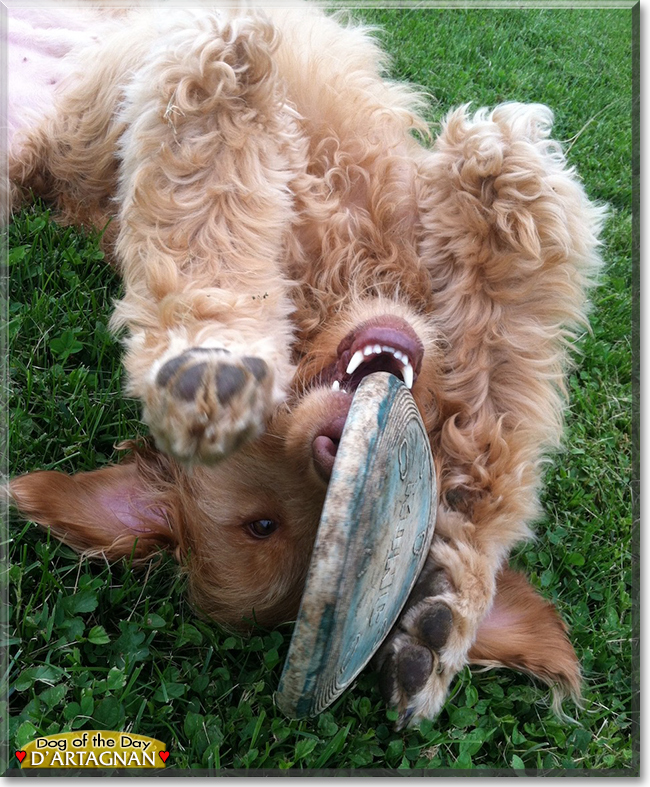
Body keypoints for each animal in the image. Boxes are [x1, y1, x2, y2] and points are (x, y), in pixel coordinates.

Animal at [7, 4, 604, 732]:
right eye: (262, 524)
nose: (333, 447)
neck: (340, 278)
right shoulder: (175, 130)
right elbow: (202, 212)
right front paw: (214, 356)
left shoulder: (493, 313)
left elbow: (503, 424)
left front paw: (447, 610)